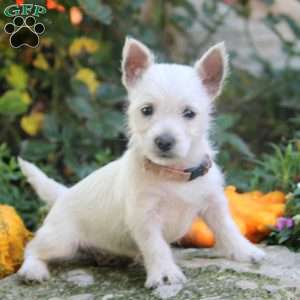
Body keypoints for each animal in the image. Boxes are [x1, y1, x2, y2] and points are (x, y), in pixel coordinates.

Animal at [17, 38, 264, 288]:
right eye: (147, 110)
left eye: (189, 113)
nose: (164, 141)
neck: (173, 174)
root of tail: (64, 193)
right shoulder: (145, 218)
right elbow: (156, 246)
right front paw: (165, 273)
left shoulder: (213, 203)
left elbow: (226, 227)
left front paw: (245, 251)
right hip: (61, 239)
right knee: (32, 248)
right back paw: (33, 270)